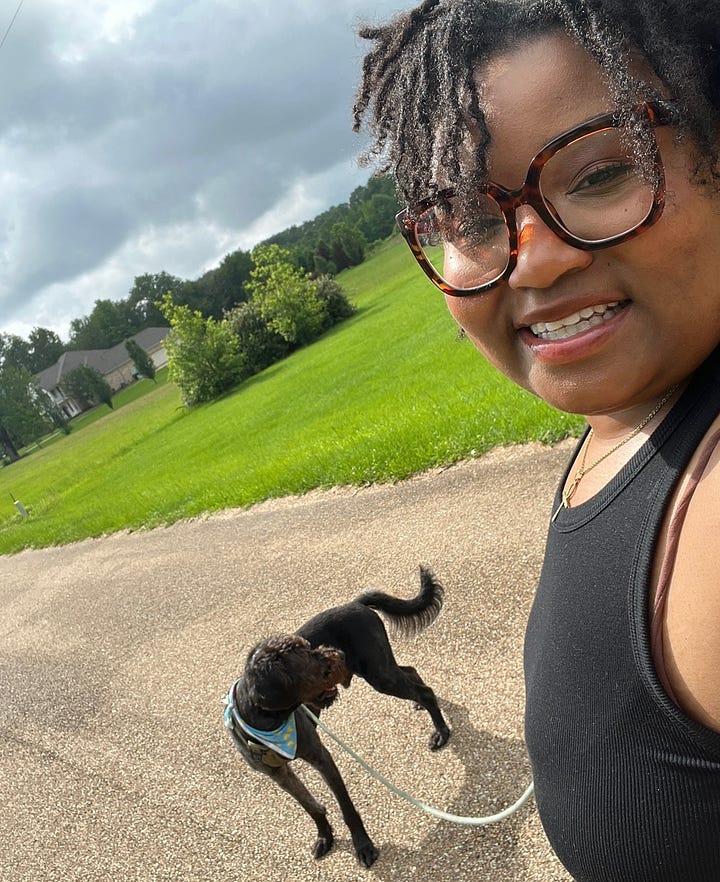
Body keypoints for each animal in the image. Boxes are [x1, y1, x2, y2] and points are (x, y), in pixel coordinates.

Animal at [225, 568, 450, 864]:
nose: (339, 654)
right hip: (381, 669)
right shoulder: (279, 775)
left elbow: (346, 807)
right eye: (310, 658)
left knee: (425, 691)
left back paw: (441, 731)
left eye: (310, 648)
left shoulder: (322, 758)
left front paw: (363, 845)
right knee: (411, 672)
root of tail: (356, 603)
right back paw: (421, 707)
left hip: (379, 673)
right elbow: (310, 806)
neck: (268, 725)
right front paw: (324, 836)